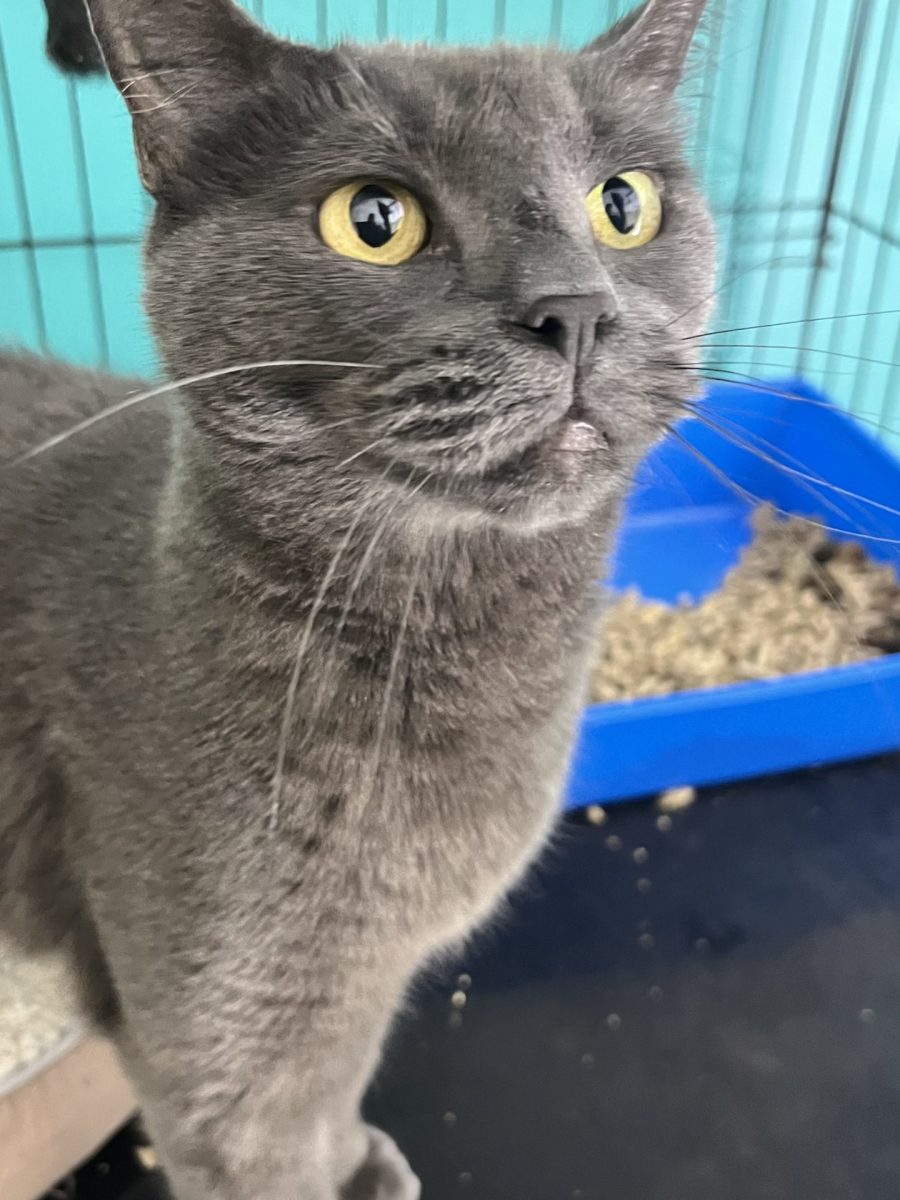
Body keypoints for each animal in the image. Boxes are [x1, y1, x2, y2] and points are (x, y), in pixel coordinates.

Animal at [0, 0, 714, 1197]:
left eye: (625, 204)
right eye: (372, 219)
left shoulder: (357, 980)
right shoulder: (214, 1040)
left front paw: (357, 1157)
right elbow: (268, 1139)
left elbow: (340, 1068)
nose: (577, 309)